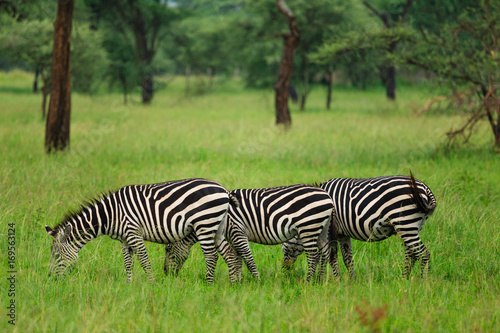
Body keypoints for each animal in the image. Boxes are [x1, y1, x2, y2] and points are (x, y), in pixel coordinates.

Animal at [45, 178, 236, 282]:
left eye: (56, 255)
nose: (51, 278)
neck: (110, 214)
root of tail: (223, 189)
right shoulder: (124, 239)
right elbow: (128, 263)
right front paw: (129, 286)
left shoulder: (133, 232)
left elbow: (144, 261)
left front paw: (152, 284)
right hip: (218, 227)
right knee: (229, 254)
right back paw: (234, 283)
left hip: (205, 224)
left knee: (211, 256)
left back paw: (208, 284)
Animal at [165, 183, 336, 282]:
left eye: (168, 250)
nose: (166, 274)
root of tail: (327, 195)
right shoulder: (232, 237)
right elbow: (237, 258)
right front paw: (239, 281)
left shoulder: (237, 231)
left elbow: (247, 257)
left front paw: (256, 281)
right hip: (321, 228)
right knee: (326, 252)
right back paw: (326, 280)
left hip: (308, 227)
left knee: (313, 256)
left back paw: (308, 281)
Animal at [284, 172, 436, 278]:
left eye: (287, 241)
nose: (285, 269)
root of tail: (425, 188)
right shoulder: (342, 233)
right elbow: (347, 259)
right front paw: (352, 281)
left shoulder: (330, 230)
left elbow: (328, 256)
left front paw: (324, 279)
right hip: (411, 226)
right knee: (412, 254)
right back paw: (405, 279)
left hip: (405, 223)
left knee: (423, 254)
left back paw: (423, 282)